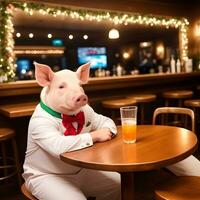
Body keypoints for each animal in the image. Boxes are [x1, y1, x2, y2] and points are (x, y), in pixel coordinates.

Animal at [22, 61, 121, 199]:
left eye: (80, 85)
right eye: (61, 86)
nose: (81, 96)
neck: (70, 116)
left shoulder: (92, 112)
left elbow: (106, 120)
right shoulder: (41, 126)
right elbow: (58, 143)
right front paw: (105, 134)